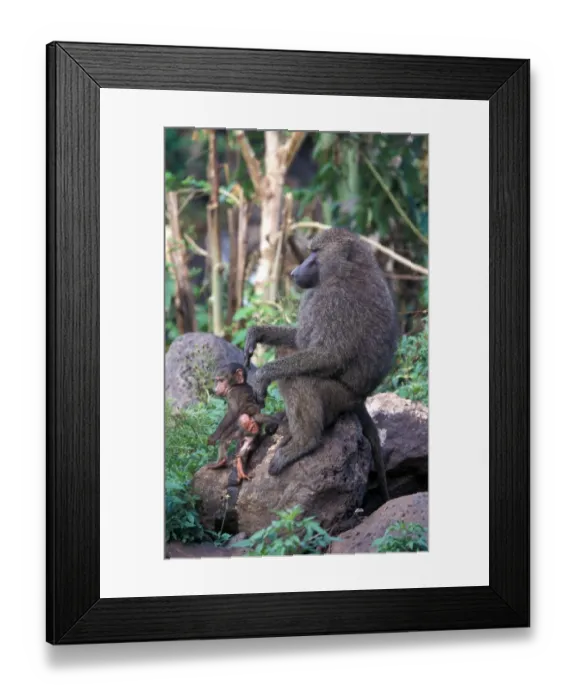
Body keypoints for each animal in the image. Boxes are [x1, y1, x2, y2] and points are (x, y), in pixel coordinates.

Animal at [243, 227, 398, 503]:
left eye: (315, 252)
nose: (294, 272)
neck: (349, 268)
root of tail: (360, 400)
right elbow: (299, 340)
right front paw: (256, 333)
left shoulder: (333, 299)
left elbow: (328, 355)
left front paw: (262, 375)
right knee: (289, 352)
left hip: (340, 397)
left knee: (298, 377)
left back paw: (304, 442)